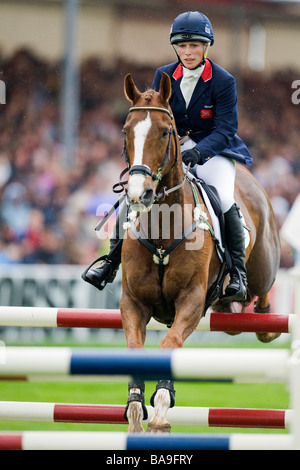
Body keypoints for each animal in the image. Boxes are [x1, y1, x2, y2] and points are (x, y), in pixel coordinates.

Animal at [119, 73, 282, 434]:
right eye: (126, 130)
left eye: (165, 131)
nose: (139, 194)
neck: (162, 229)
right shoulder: (133, 302)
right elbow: (136, 350)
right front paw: (136, 411)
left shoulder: (191, 300)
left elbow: (170, 345)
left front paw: (161, 411)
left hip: (263, 269)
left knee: (263, 297)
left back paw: (264, 321)